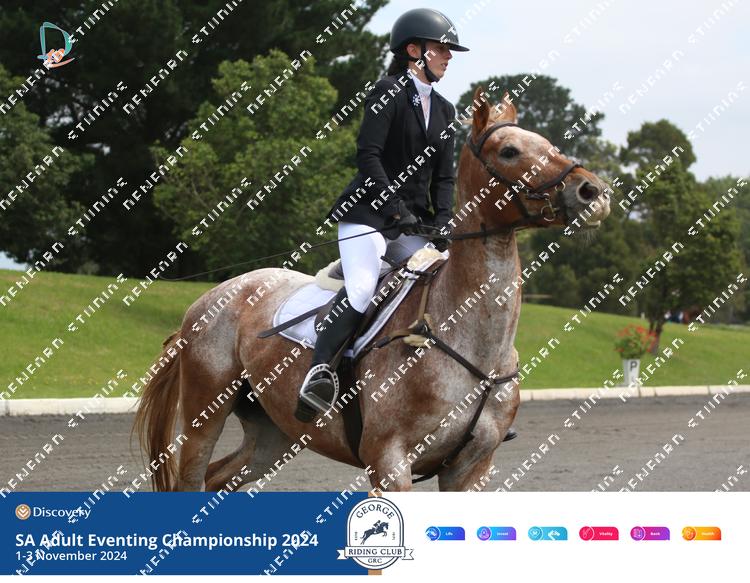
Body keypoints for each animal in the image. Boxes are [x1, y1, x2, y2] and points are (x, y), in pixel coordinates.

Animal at [132, 87, 611, 492]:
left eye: (548, 143)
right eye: (509, 151)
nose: (594, 192)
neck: (471, 343)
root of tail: (211, 296)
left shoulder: (471, 467)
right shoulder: (389, 461)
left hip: (274, 432)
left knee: (220, 478)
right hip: (205, 411)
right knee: (191, 479)